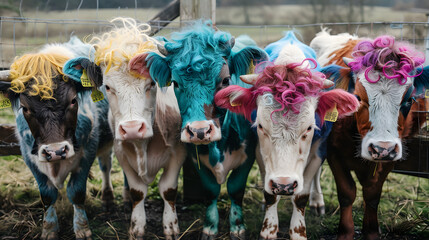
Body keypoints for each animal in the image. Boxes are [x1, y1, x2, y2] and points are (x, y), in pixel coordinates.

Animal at [0, 36, 112, 239]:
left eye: (73, 100)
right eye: (25, 108)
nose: (56, 151)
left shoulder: (88, 150)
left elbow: (76, 191)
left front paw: (82, 228)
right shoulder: (29, 155)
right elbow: (47, 195)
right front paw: (49, 229)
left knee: (107, 165)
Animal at [64, 17, 186, 239]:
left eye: (151, 84)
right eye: (108, 87)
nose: (132, 128)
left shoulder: (178, 152)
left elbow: (168, 190)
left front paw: (171, 226)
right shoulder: (122, 152)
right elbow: (138, 191)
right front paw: (136, 227)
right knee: (106, 164)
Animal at [147, 21, 268, 239]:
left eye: (226, 80)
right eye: (175, 83)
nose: (199, 131)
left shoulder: (248, 155)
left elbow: (236, 188)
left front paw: (237, 226)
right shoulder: (196, 158)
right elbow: (211, 190)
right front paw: (210, 226)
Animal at [214, 31, 358, 238]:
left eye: (309, 128)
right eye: (260, 126)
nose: (284, 185)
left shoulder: (318, 150)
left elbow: (301, 197)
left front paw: (298, 232)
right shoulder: (260, 152)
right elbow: (270, 195)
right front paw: (268, 230)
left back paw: (317, 201)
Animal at [310, 30, 426, 240]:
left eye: (408, 100)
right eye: (357, 97)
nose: (381, 149)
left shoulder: (391, 156)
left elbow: (372, 195)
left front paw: (372, 230)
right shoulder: (333, 152)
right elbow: (346, 193)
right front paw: (346, 232)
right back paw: (316, 201)